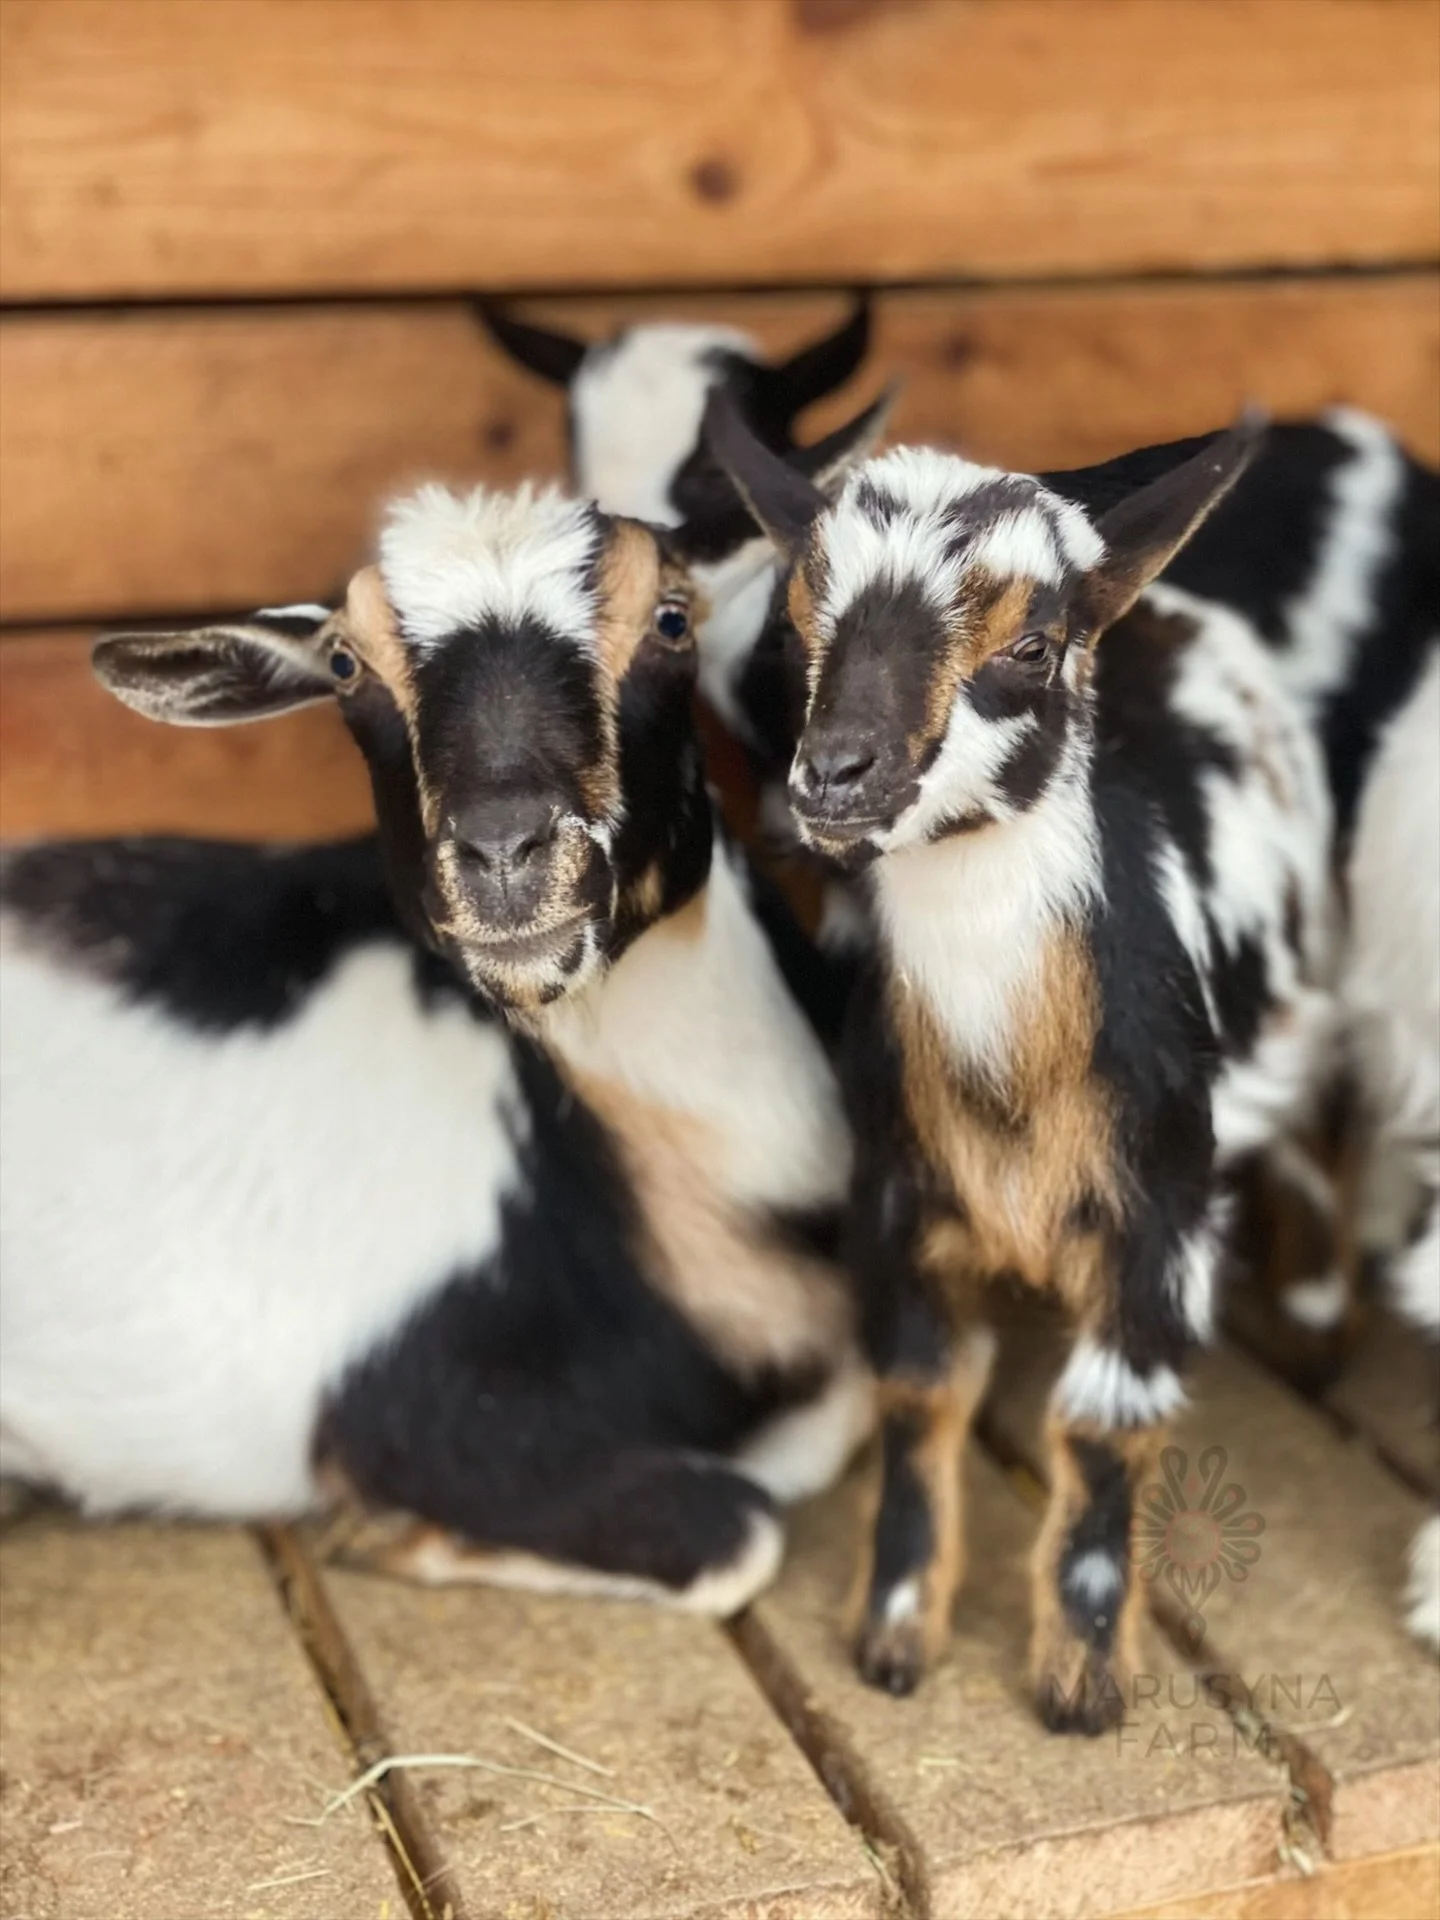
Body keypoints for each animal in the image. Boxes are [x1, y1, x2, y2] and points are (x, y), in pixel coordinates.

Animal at [0, 478, 875, 1612]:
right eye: (345, 665)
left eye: (674, 620)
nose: (503, 849)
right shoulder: (429, 1418)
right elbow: (738, 1530)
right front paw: (393, 1534)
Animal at [706, 397, 1339, 1728]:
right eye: (800, 625)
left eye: (1033, 647)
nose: (833, 777)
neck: (1006, 1078)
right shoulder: (896, 1205)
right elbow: (920, 1394)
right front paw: (896, 1635)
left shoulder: (1161, 1218)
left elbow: (1104, 1422)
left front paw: (1082, 1679)